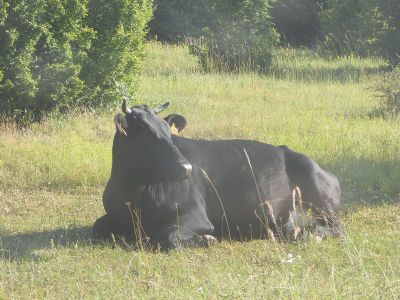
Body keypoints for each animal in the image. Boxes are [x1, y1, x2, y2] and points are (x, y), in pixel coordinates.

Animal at [93, 101, 340, 248]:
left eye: (168, 131)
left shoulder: (196, 216)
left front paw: (208, 238)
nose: (186, 168)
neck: (132, 193)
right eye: (145, 133)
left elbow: (168, 237)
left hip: (321, 198)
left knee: (336, 229)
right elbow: (98, 226)